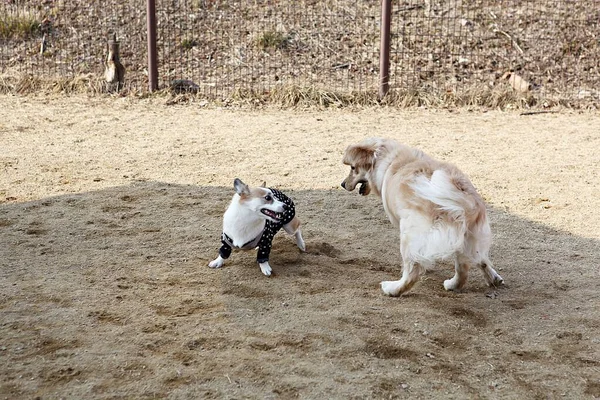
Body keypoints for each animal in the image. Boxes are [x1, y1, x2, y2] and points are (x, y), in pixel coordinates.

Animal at [340, 139, 504, 296]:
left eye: (353, 168)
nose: (342, 184)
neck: (386, 158)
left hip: (409, 235)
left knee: (411, 273)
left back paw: (392, 289)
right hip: (468, 236)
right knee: (468, 266)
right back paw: (463, 283)